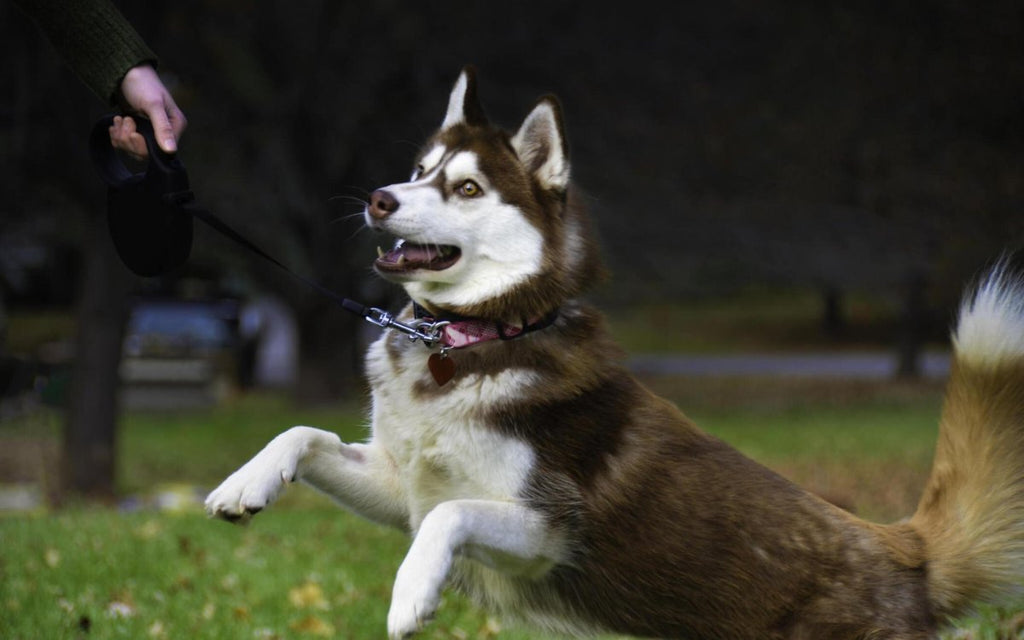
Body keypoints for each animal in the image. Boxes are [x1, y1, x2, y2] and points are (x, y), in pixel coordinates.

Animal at [207, 67, 1024, 634]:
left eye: (466, 187)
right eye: (417, 171)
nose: (378, 197)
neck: (473, 341)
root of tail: (906, 552)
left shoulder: (546, 528)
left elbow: (449, 519)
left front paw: (411, 593)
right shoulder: (399, 483)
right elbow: (304, 432)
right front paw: (246, 483)